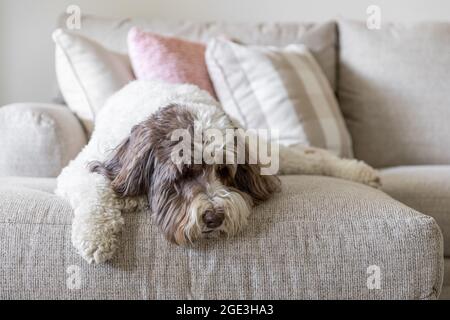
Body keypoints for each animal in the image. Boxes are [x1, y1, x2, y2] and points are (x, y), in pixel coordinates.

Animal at [55, 80, 380, 264]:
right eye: (184, 173)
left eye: (223, 170)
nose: (214, 217)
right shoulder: (80, 171)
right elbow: (97, 193)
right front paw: (96, 238)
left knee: (304, 157)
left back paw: (358, 171)